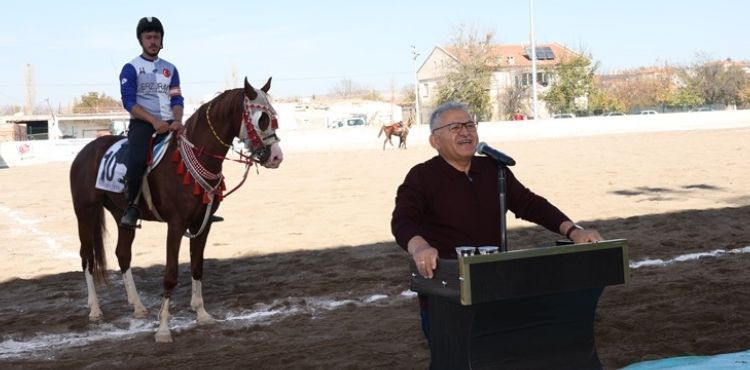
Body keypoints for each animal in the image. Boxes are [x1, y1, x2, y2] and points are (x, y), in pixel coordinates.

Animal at [69, 76, 284, 342]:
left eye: (273, 116)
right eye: (261, 118)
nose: (276, 157)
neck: (192, 158)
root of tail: (85, 151)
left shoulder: (202, 224)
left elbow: (197, 267)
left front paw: (202, 314)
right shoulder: (176, 225)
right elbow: (170, 274)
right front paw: (163, 328)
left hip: (121, 215)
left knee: (122, 254)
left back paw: (137, 306)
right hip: (85, 213)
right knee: (87, 257)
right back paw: (95, 309)